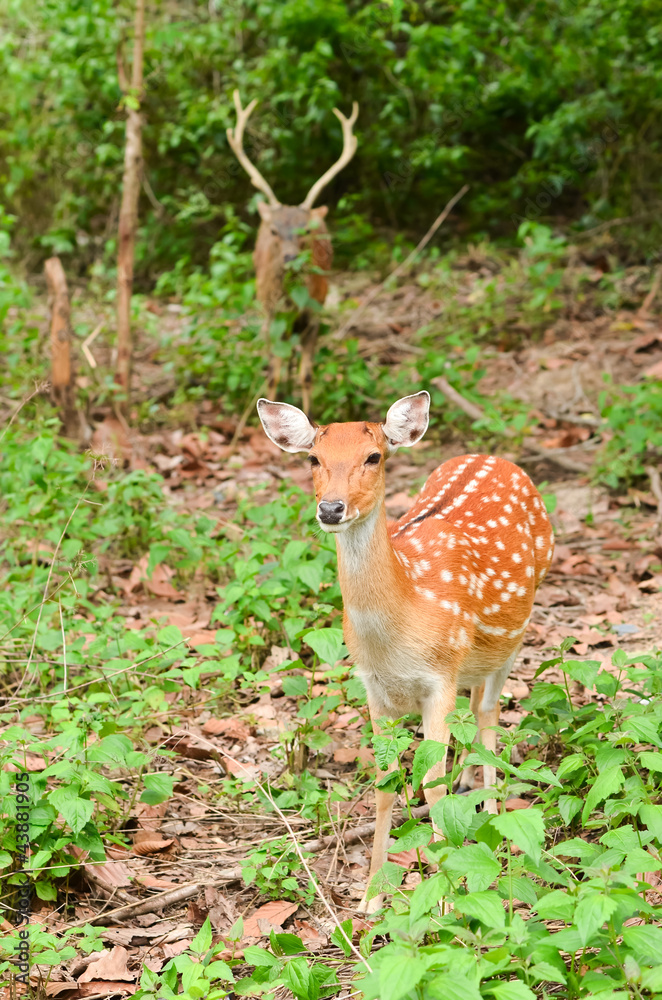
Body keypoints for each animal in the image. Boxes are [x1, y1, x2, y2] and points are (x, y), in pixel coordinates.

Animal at [227, 92, 360, 416]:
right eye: (275, 231)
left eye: (306, 231)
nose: (289, 260)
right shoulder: (271, 314)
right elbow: (272, 373)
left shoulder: (314, 313)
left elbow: (307, 374)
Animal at [260, 390, 556, 916]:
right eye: (314, 458)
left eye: (373, 457)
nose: (331, 508)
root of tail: (495, 457)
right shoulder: (375, 688)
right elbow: (384, 785)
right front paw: (371, 897)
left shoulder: (440, 678)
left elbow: (431, 786)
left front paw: (446, 900)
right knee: (475, 714)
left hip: (515, 632)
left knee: (487, 714)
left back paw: (496, 823)